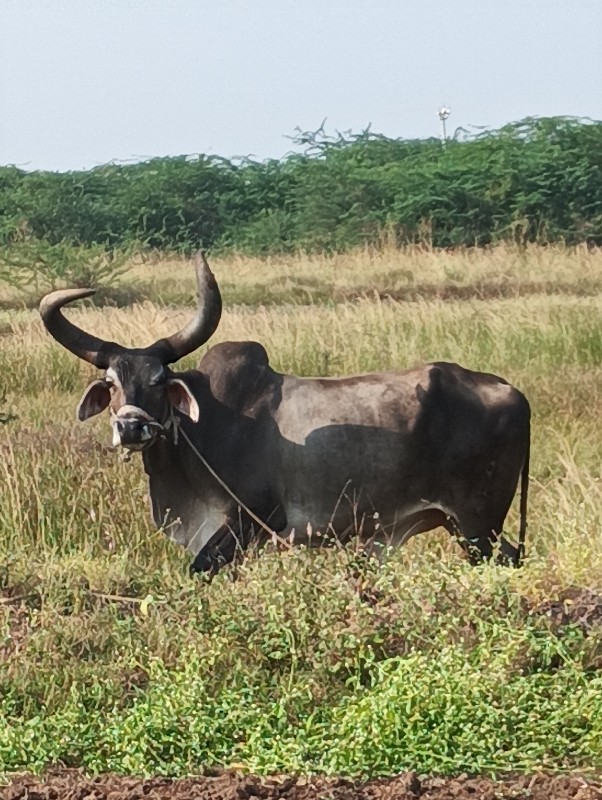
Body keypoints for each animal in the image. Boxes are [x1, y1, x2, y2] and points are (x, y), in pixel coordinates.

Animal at [37, 253, 528, 572]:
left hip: (476, 525)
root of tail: (512, 391)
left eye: (159, 380)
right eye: (111, 383)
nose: (131, 426)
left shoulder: (255, 520)